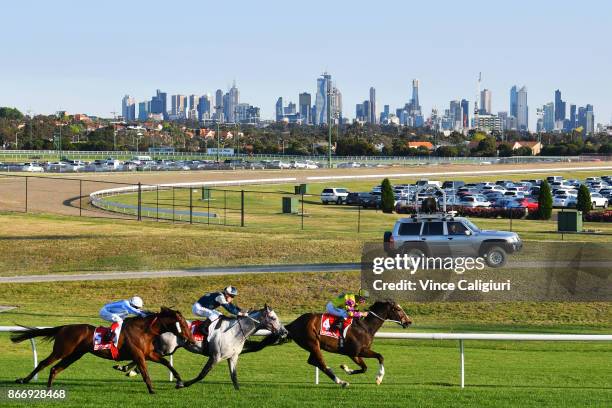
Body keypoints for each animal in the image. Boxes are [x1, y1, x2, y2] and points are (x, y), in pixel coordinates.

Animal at [11, 308, 194, 394]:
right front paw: (152, 390)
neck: (144, 331)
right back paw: (24, 380)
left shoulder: (149, 354)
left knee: (55, 368)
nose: (191, 340)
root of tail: (64, 327)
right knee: (43, 363)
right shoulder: (139, 355)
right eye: (182, 324)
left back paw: (49, 388)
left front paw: (179, 382)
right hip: (62, 351)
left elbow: (167, 363)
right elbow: (145, 372)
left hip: (74, 355)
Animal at [247, 302, 412, 388]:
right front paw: (379, 378)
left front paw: (346, 369)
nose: (409, 322)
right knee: (320, 362)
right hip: (312, 342)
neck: (365, 326)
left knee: (313, 361)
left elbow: (364, 367)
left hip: (313, 345)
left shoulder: (355, 354)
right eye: (398, 309)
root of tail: (292, 324)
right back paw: (340, 381)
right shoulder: (357, 351)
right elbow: (380, 357)